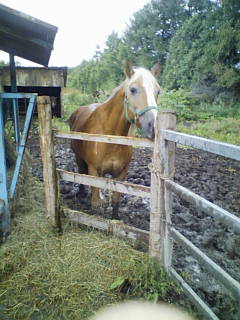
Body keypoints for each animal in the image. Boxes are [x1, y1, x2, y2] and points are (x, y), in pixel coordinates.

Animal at [68, 61, 160, 219]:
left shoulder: (121, 173)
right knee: (80, 172)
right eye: (133, 89)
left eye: (158, 91)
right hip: (79, 157)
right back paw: (81, 192)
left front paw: (115, 218)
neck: (111, 138)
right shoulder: (94, 171)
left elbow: (116, 198)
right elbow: (95, 202)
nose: (153, 126)